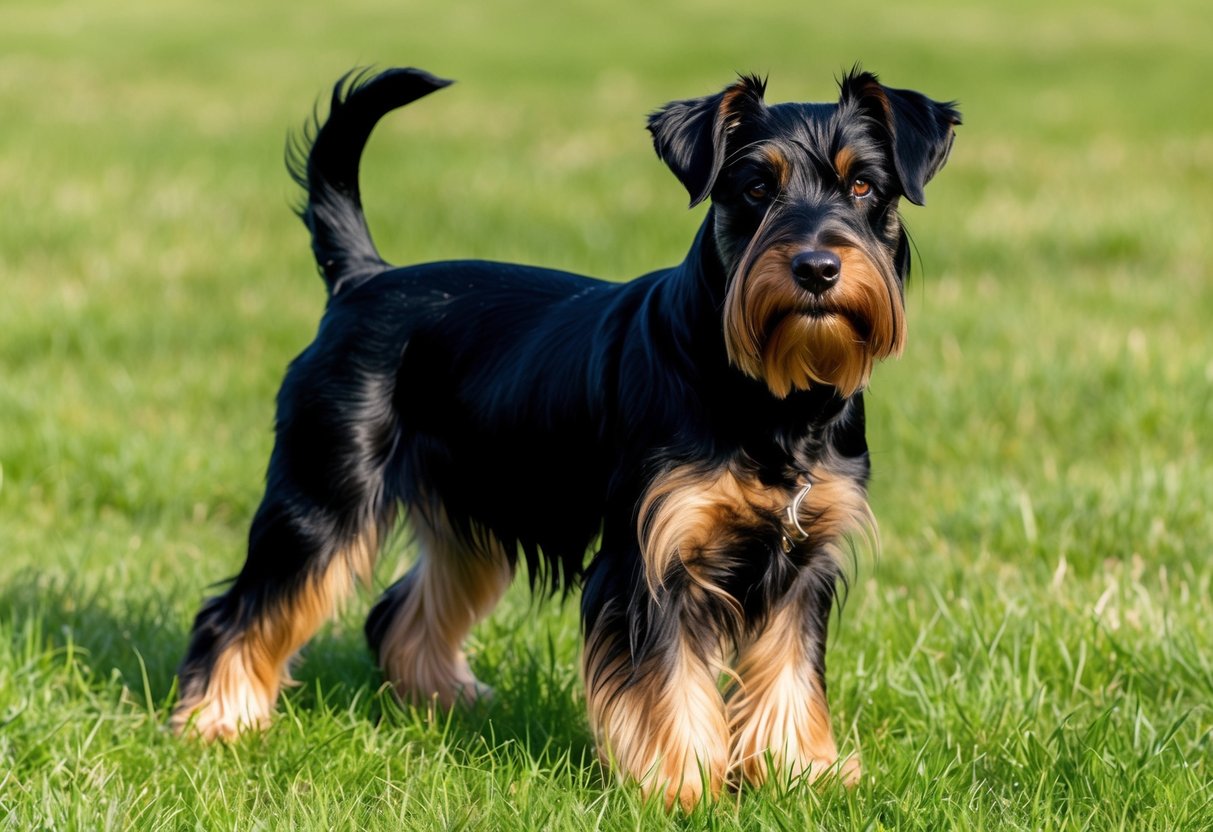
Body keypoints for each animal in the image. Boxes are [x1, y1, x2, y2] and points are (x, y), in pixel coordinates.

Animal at [173, 65, 955, 810]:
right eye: (756, 188)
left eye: (864, 185)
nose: (816, 267)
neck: (771, 397)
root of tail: (363, 280)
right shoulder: (650, 560)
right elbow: (667, 683)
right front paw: (683, 788)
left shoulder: (802, 561)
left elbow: (789, 674)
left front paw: (799, 774)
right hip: (321, 501)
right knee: (239, 612)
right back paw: (217, 721)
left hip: (469, 517)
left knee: (397, 612)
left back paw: (449, 705)